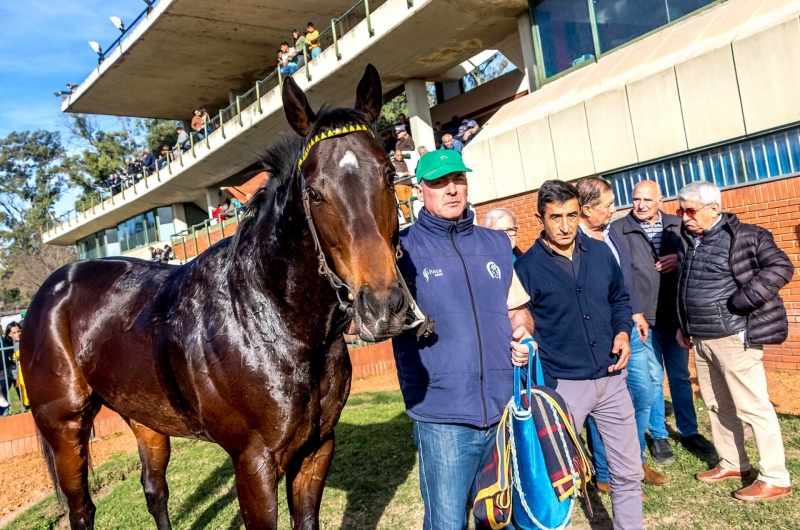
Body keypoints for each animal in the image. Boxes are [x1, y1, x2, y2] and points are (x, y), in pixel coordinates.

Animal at [21, 66, 410, 528]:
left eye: (389, 175)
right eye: (315, 193)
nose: (383, 305)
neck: (270, 321)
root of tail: (51, 289)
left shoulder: (317, 449)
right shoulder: (253, 462)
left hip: (145, 417)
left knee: (155, 492)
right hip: (65, 426)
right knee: (81, 510)